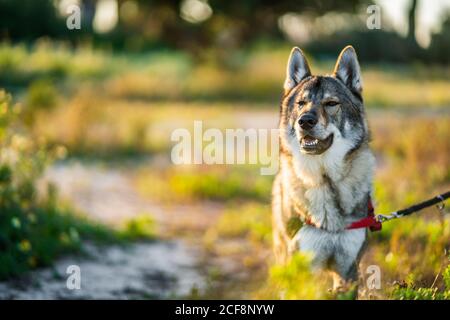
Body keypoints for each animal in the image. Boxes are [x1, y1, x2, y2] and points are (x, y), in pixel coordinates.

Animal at [270, 45, 376, 290]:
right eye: (300, 104)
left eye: (331, 104)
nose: (305, 121)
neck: (326, 180)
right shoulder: (302, 271)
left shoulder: (348, 272)